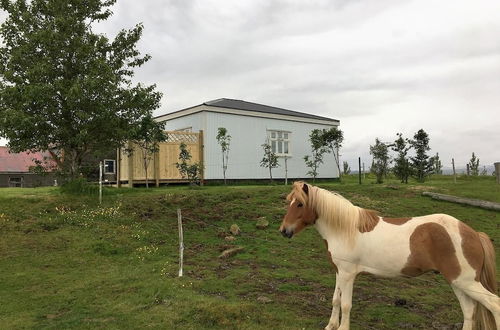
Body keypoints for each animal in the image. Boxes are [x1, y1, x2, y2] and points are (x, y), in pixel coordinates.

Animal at [280, 182, 498, 328]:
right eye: (289, 202)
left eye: (300, 204)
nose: (284, 231)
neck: (345, 229)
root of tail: (473, 233)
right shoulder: (338, 272)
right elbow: (335, 300)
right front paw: (331, 325)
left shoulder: (348, 275)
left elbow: (346, 304)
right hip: (458, 282)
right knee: (469, 311)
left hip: (466, 283)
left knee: (494, 305)